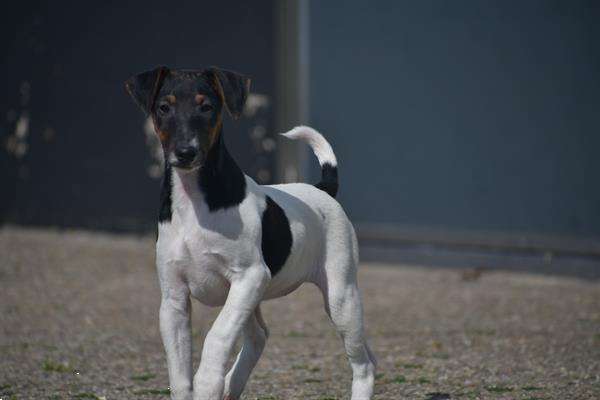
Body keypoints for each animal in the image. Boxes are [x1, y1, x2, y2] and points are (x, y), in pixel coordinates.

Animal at [124, 66, 376, 400]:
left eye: (207, 107)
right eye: (164, 107)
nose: (186, 152)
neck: (195, 200)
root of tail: (323, 190)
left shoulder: (250, 276)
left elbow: (217, 336)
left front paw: (208, 382)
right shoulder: (174, 299)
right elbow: (179, 373)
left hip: (340, 297)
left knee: (363, 362)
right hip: (252, 300)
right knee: (259, 336)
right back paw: (232, 384)